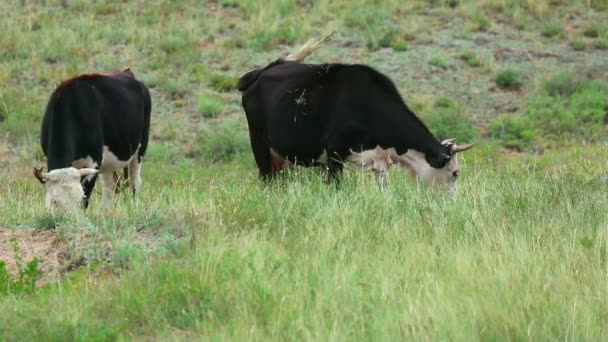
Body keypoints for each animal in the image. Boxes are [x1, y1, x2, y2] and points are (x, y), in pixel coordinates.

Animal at [33, 68, 151, 210]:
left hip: (140, 148)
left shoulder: (95, 162)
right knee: (110, 185)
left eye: (78, 199)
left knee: (135, 181)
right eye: (54, 201)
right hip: (109, 162)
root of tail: (127, 72)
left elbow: (86, 198)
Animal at [239, 37, 476, 194]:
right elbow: (336, 188)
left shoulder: (380, 162)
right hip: (259, 145)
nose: (452, 204)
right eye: (455, 173)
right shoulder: (334, 153)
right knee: (266, 181)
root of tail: (261, 72)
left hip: (281, 157)